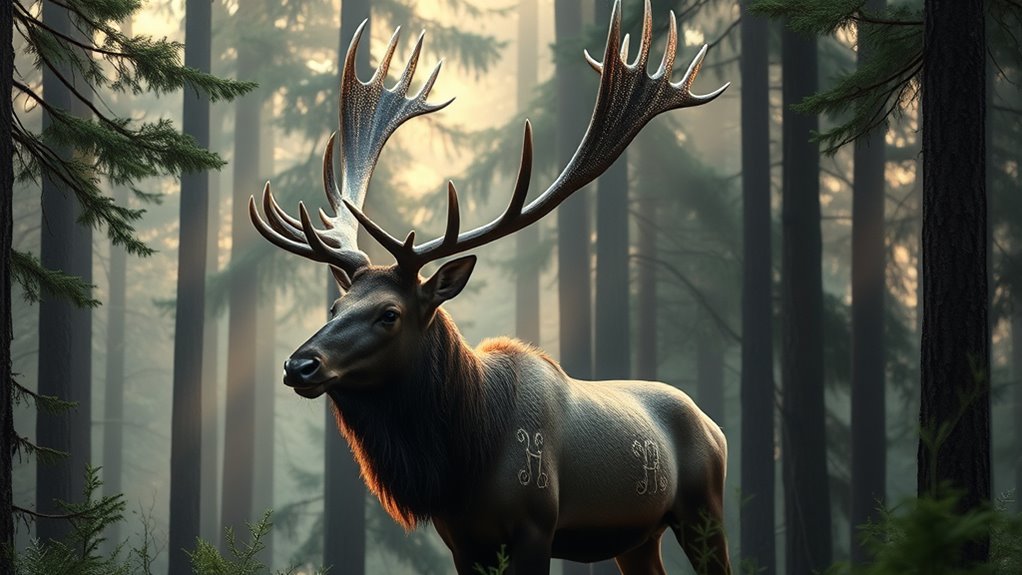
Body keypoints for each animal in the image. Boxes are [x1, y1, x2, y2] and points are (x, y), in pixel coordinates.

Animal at [250, 1, 731, 573]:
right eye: (335, 305)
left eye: (389, 313)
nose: (299, 365)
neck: (465, 465)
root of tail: (716, 426)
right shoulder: (462, 540)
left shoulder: (536, 525)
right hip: (637, 536)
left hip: (704, 508)